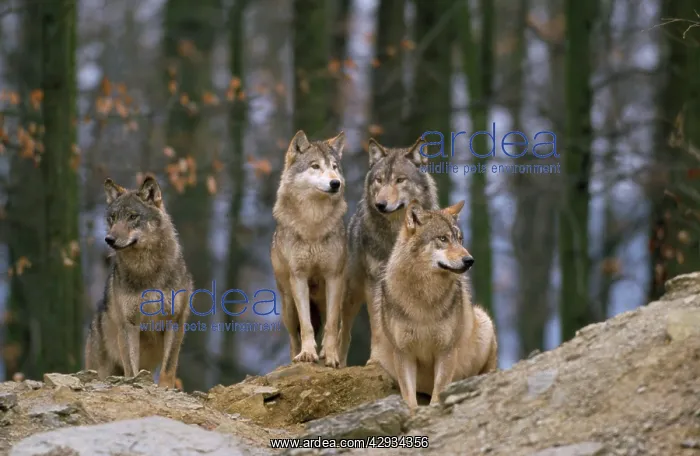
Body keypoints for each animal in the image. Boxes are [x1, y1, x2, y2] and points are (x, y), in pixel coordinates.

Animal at [84, 174, 193, 388]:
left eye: (133, 217)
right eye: (113, 217)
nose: (109, 239)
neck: (146, 269)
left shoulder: (175, 322)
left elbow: (168, 368)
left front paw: (165, 389)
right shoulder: (129, 325)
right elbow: (131, 369)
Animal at [271, 130, 347, 368]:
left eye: (334, 166)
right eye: (315, 166)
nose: (335, 183)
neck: (314, 224)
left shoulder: (334, 277)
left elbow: (331, 326)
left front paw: (330, 357)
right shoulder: (299, 277)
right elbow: (306, 326)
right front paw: (307, 354)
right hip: (288, 306)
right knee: (293, 337)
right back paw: (296, 358)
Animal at [338, 136, 439, 367]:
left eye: (400, 180)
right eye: (379, 180)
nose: (380, 204)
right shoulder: (375, 281)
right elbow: (377, 327)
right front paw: (376, 360)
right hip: (350, 293)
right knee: (342, 331)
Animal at [375, 200, 498, 410]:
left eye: (460, 239)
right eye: (443, 238)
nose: (470, 260)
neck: (424, 297)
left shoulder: (446, 351)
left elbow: (437, 394)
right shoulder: (404, 354)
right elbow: (410, 399)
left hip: (485, 324)